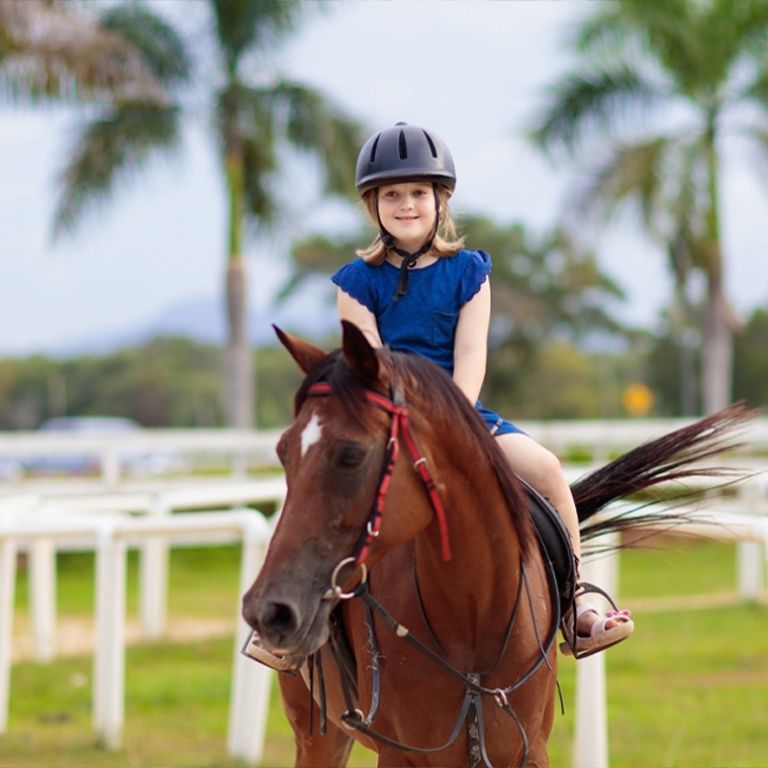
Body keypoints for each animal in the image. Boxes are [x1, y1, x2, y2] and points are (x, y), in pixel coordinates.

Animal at [242, 320, 750, 768]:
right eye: (283, 451)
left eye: (351, 455)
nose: (268, 609)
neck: (473, 610)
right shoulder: (404, 756)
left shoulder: (527, 751)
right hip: (316, 735)